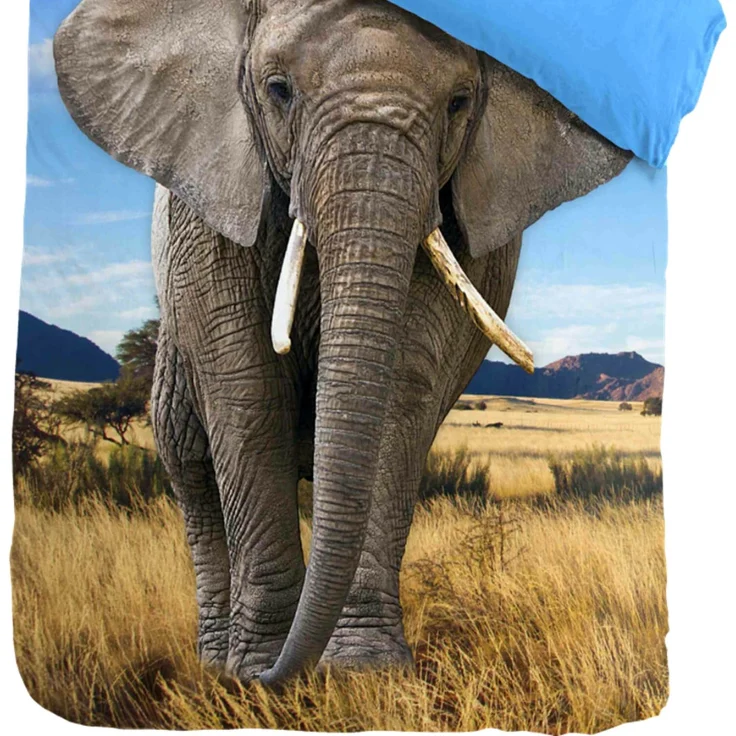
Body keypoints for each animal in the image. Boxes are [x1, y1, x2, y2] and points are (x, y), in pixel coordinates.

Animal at [54, 0, 631, 686]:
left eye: (460, 102)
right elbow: (245, 386)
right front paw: (256, 674)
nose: (283, 673)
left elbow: (404, 386)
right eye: (278, 89)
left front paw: (362, 672)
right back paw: (215, 663)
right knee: (190, 464)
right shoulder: (205, 203)